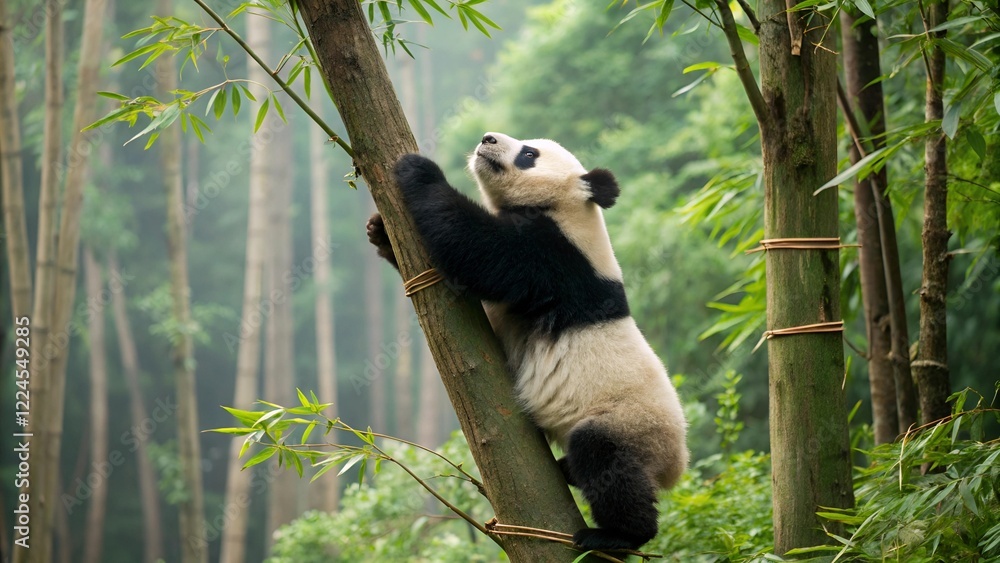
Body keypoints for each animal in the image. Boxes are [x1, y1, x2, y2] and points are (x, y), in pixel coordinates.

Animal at [366, 132, 688, 552]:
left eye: (529, 154)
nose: (487, 137)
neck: (567, 208)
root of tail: (675, 465)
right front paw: (379, 231)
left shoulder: (558, 258)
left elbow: (482, 250)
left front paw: (418, 169)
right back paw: (569, 474)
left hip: (631, 424)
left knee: (604, 460)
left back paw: (616, 535)